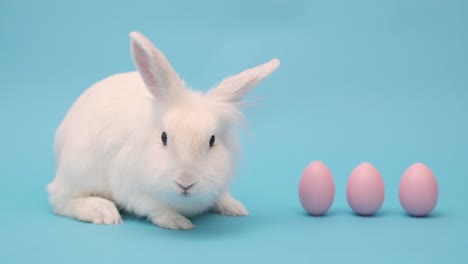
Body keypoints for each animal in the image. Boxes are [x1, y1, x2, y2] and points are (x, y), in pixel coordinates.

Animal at [47, 30, 280, 229]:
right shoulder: (134, 191)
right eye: (164, 137)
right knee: (58, 199)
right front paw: (178, 222)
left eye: (212, 140)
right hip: (79, 170)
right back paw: (102, 211)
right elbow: (156, 209)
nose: (185, 182)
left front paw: (235, 207)